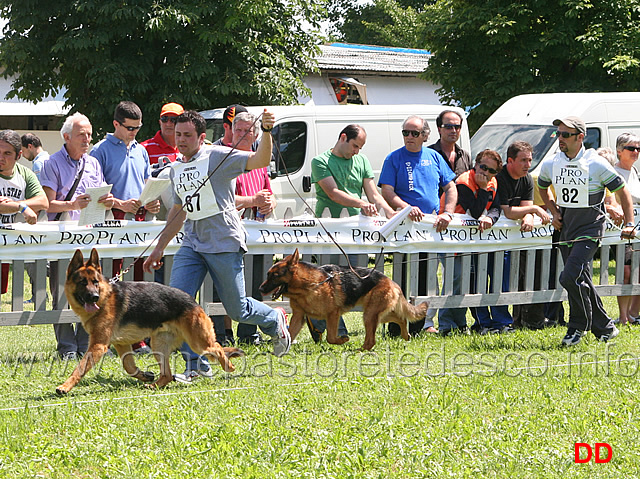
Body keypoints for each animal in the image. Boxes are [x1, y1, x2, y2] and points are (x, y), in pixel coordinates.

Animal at [55, 249, 242, 396]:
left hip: (198, 343)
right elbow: (129, 366)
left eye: (95, 282)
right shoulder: (121, 344)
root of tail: (194, 302)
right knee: (167, 374)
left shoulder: (98, 346)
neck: (104, 298)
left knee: (218, 347)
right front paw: (145, 375)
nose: (94, 297)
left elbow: (80, 368)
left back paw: (229, 367)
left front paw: (65, 387)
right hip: (159, 345)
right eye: (82, 282)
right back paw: (154, 385)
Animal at [258, 249, 428, 350]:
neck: (308, 285)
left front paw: (343, 340)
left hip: (370, 315)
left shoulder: (333, 314)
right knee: (401, 318)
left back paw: (360, 351)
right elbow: (290, 334)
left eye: (275, 276)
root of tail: (390, 281)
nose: (260, 289)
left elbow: (330, 338)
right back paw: (405, 335)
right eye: (267, 274)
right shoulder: (299, 316)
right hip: (377, 314)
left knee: (372, 340)